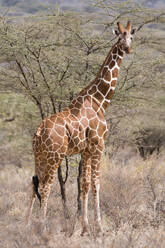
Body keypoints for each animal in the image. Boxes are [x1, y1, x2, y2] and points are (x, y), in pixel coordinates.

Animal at [26, 20, 135, 234]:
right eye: (120, 37)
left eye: (131, 36)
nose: (127, 48)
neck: (99, 100)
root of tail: (38, 132)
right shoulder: (99, 145)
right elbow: (96, 183)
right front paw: (99, 228)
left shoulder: (85, 150)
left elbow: (84, 184)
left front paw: (85, 228)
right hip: (55, 156)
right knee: (45, 187)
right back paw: (42, 227)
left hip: (39, 156)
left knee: (34, 184)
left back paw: (25, 225)